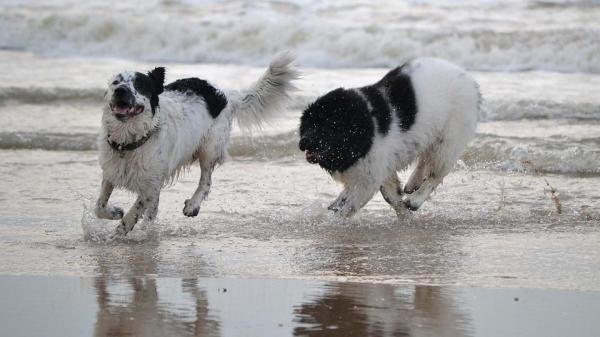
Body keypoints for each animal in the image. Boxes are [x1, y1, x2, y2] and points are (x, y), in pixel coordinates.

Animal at [95, 53, 298, 235]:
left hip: (210, 148)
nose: (121, 90)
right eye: (116, 82)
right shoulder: (111, 172)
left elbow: (135, 209)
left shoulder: (150, 185)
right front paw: (115, 213)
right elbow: (99, 206)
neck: (128, 141)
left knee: (206, 181)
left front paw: (120, 230)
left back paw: (192, 205)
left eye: (139, 85)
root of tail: (224, 95)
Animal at [298, 57, 478, 218]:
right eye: (307, 124)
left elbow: (351, 206)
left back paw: (415, 200)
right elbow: (390, 196)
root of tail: (469, 79)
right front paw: (405, 216)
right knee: (425, 159)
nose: (302, 142)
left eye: (326, 125)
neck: (365, 123)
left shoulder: (371, 175)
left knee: (437, 172)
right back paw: (413, 182)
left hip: (448, 138)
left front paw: (334, 220)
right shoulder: (380, 168)